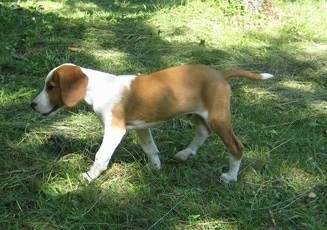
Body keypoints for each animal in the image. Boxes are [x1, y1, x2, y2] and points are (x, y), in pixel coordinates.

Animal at [31, 63, 274, 182]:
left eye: (50, 87)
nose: (32, 105)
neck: (99, 87)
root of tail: (220, 74)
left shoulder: (115, 130)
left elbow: (101, 156)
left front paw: (89, 177)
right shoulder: (142, 127)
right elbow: (150, 148)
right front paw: (155, 167)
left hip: (218, 118)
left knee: (236, 147)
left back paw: (231, 177)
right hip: (196, 114)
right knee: (203, 132)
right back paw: (185, 154)